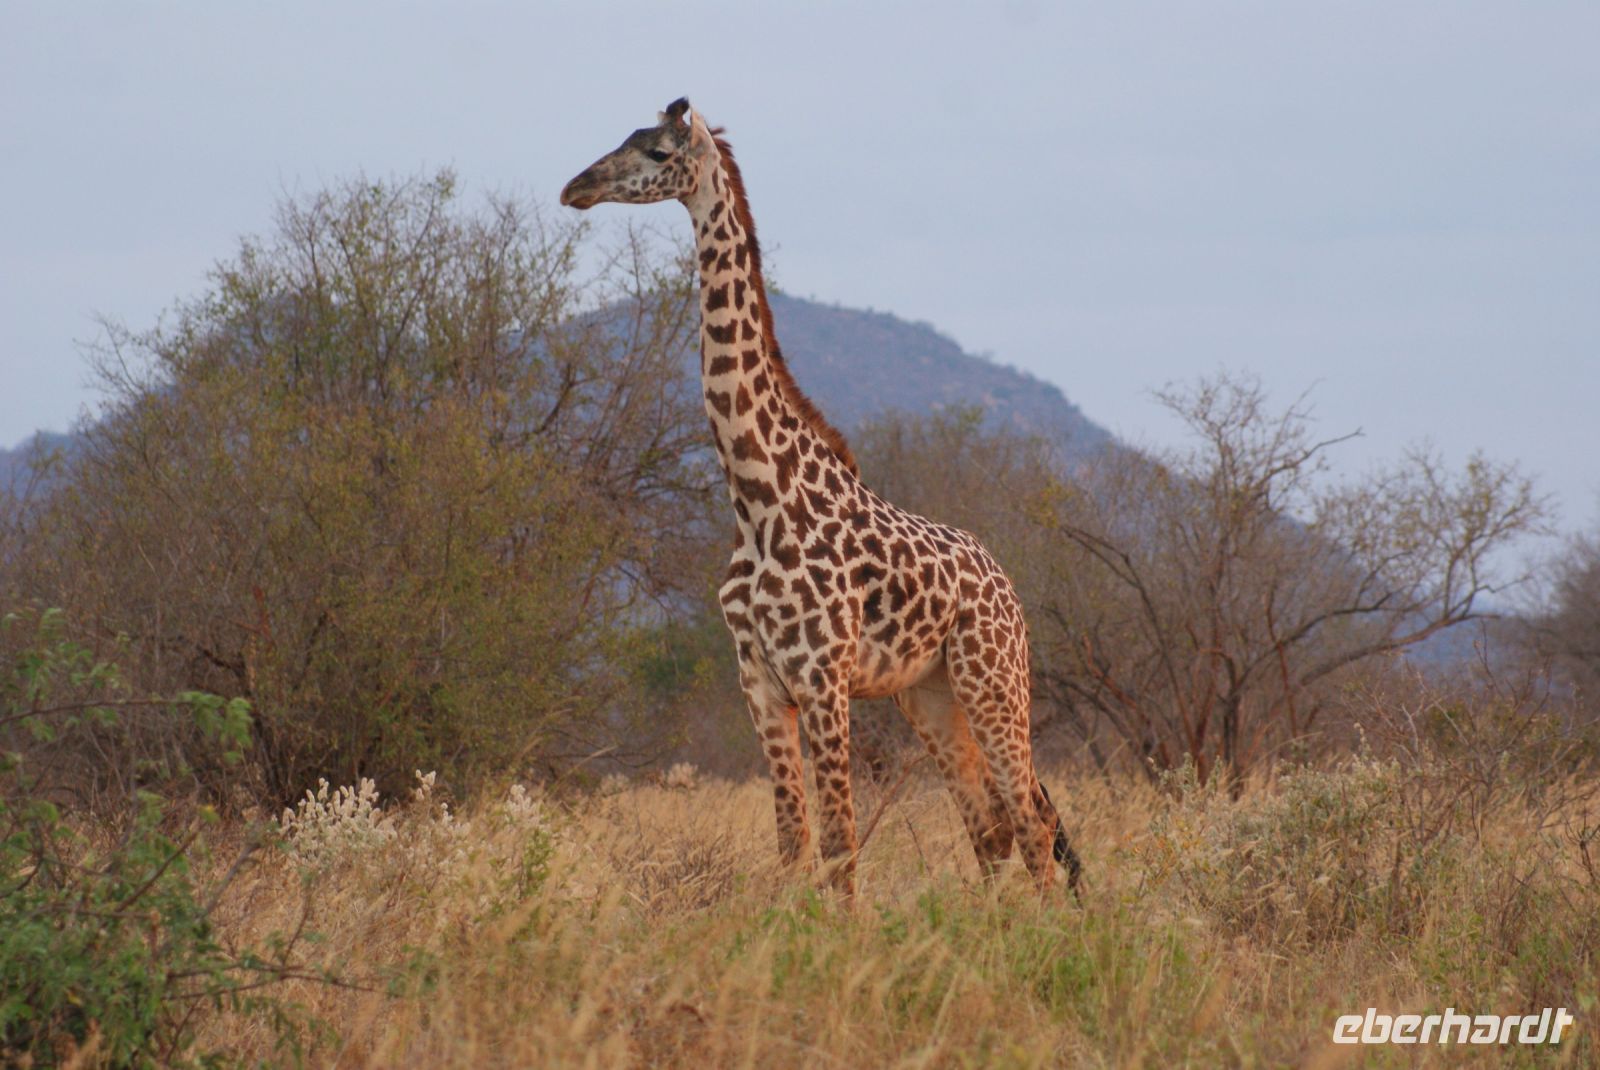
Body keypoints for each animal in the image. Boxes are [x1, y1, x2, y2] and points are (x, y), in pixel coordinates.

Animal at [562, 98, 1081, 895]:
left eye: (655, 153)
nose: (576, 188)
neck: (757, 498)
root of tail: (1005, 584)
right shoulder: (760, 683)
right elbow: (793, 846)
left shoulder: (822, 680)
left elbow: (840, 853)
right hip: (929, 695)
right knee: (991, 829)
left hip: (994, 680)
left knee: (1031, 820)